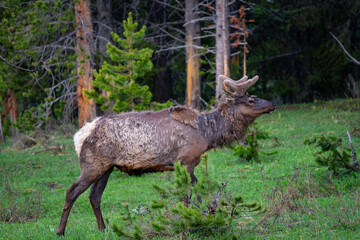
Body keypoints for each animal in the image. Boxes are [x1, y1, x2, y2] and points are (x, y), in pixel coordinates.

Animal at [57, 74, 276, 234]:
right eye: (251, 99)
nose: (272, 104)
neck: (206, 134)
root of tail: (79, 136)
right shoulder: (186, 161)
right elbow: (187, 194)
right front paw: (190, 220)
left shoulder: (189, 164)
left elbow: (195, 190)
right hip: (92, 164)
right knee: (72, 191)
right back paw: (61, 231)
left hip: (107, 168)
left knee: (94, 196)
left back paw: (103, 229)